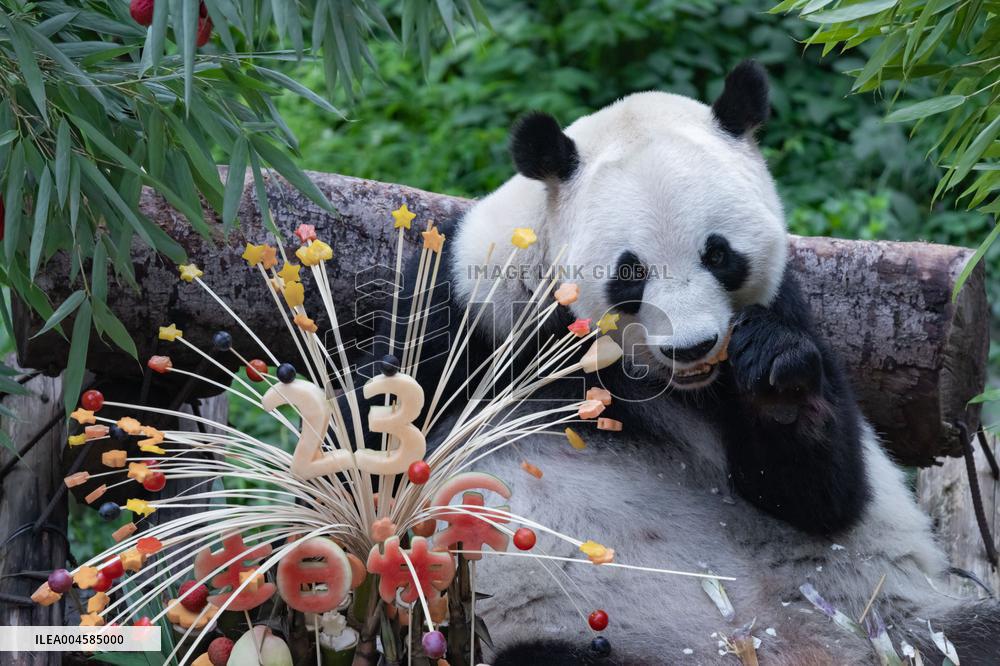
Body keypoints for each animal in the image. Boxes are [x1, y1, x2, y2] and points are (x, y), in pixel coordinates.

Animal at [377, 61, 999, 665]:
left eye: (719, 254)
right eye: (630, 272)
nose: (693, 347)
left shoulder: (786, 304)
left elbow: (819, 498)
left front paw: (775, 380)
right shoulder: (475, 303)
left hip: (899, 619)